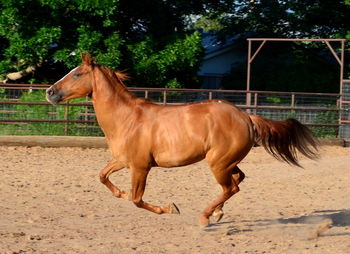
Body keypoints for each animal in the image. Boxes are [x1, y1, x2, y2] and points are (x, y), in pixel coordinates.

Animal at [45, 52, 318, 227]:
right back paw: (217, 213)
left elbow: (137, 199)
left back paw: (206, 217)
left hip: (218, 163)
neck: (127, 118)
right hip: (227, 162)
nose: (50, 92)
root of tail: (246, 116)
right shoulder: (122, 160)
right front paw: (120, 193)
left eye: (77, 74)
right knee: (237, 180)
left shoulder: (140, 167)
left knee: (231, 187)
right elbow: (103, 177)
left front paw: (169, 208)